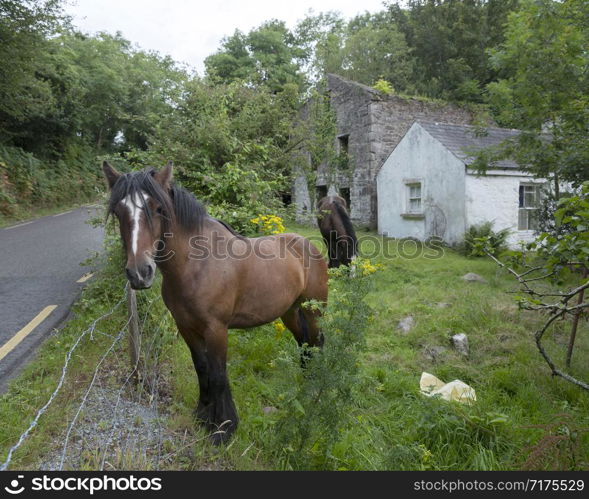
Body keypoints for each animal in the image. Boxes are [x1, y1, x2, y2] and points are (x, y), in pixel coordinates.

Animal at [103, 161, 328, 446]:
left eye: (158, 208)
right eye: (119, 211)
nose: (139, 273)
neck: (197, 264)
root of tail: (308, 245)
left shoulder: (216, 329)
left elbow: (219, 374)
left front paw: (223, 428)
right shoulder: (186, 327)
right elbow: (202, 369)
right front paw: (203, 416)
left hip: (314, 310)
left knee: (317, 341)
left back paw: (314, 387)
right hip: (289, 311)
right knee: (303, 342)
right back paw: (304, 379)